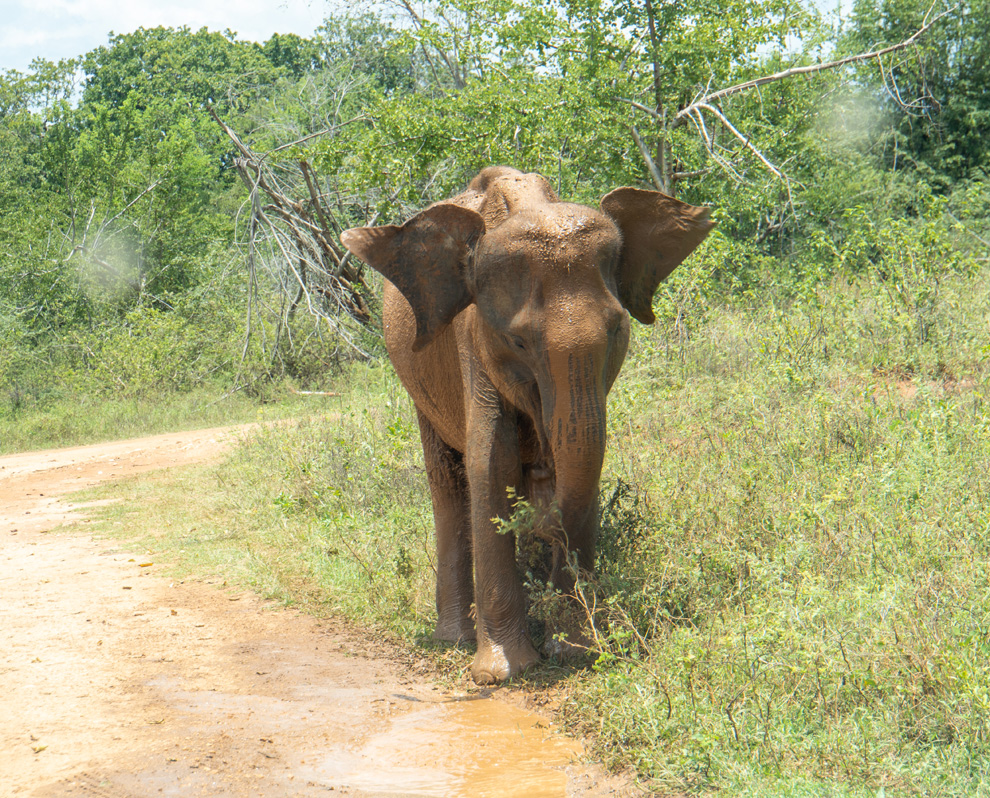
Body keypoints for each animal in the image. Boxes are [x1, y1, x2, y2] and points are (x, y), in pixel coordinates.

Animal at [341, 166, 713, 684]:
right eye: (517, 342)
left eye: (618, 329)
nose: (542, 523)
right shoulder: (471, 341)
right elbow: (490, 464)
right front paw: (502, 673)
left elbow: (583, 460)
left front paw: (574, 651)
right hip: (417, 379)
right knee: (448, 483)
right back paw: (454, 638)